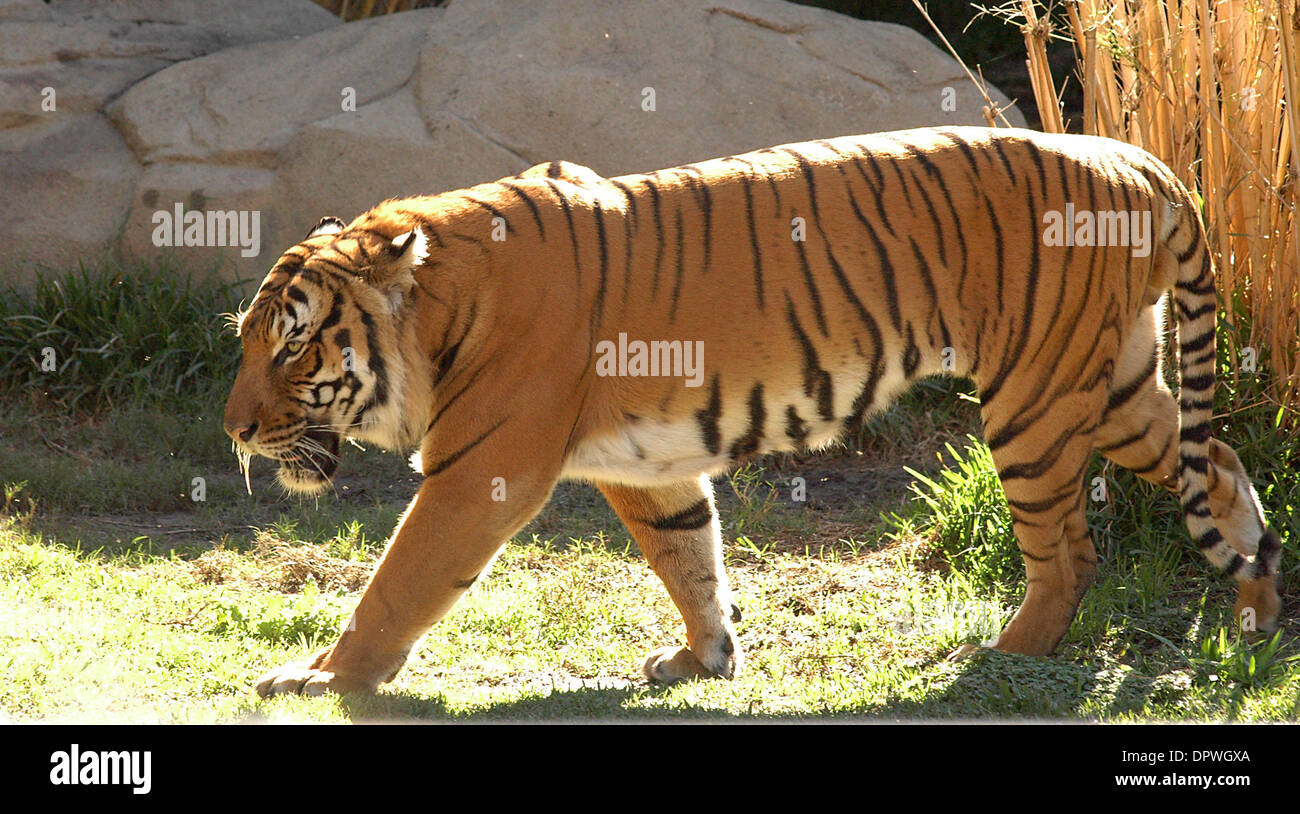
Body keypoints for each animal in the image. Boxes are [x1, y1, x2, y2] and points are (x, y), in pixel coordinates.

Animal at [223, 123, 1279, 691]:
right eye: (247, 337)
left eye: (292, 344)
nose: (234, 429)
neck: (441, 304)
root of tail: (1138, 159)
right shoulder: (645, 467)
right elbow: (689, 558)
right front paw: (706, 658)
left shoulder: (477, 472)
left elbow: (396, 585)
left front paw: (323, 678)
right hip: (1112, 386)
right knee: (1222, 471)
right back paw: (1257, 611)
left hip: (1034, 400)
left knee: (1069, 552)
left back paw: (1001, 654)